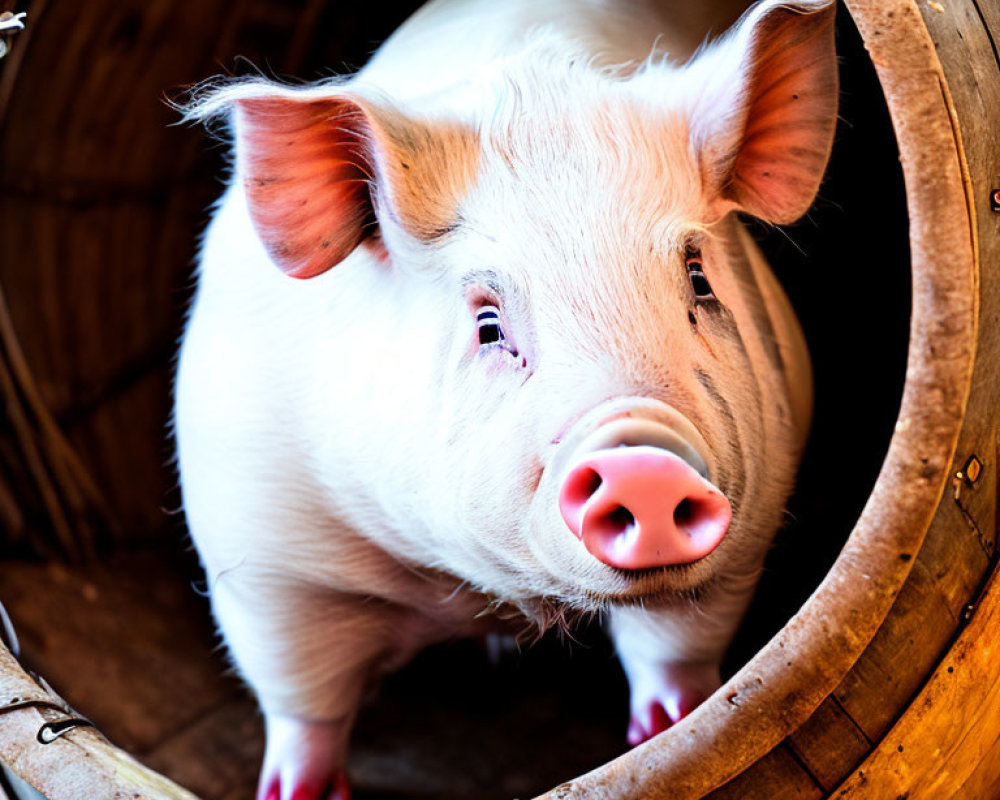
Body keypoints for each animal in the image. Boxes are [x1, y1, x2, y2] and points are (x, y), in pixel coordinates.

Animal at [174, 1, 836, 792]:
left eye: (698, 278)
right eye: (488, 323)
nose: (644, 462)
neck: (487, 598)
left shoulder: (750, 524)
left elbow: (678, 651)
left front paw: (668, 735)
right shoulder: (264, 556)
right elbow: (301, 702)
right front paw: (298, 792)